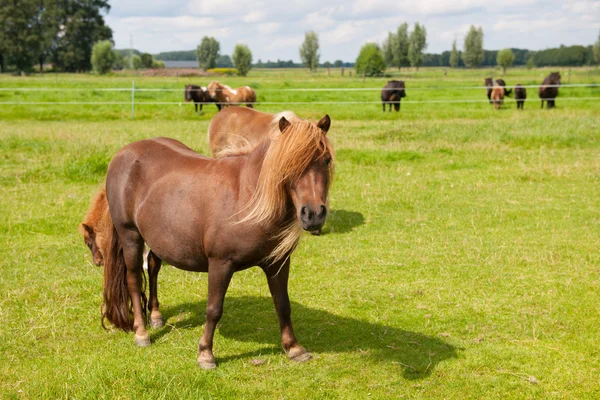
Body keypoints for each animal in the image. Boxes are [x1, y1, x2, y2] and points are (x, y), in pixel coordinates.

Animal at [99, 115, 332, 368]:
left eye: (327, 160)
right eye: (288, 165)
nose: (313, 214)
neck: (248, 196)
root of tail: (123, 154)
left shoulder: (277, 263)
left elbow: (283, 304)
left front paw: (294, 348)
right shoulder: (220, 263)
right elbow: (214, 309)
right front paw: (205, 353)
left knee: (152, 267)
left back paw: (156, 316)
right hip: (130, 236)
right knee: (133, 279)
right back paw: (141, 332)